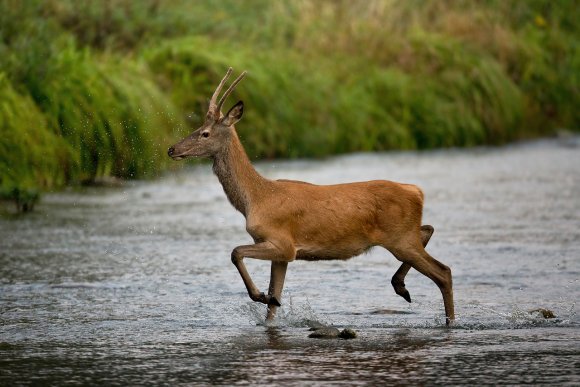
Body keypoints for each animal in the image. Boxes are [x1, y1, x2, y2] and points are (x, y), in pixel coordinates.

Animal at [165, 68, 456, 326]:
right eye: (197, 127)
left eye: (205, 133)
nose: (172, 149)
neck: (255, 198)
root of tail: (416, 190)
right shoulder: (281, 253)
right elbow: (274, 304)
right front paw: (270, 300)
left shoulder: (282, 243)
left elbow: (236, 252)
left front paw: (260, 295)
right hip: (403, 236)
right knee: (429, 230)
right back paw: (401, 286)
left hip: (399, 237)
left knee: (443, 272)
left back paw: (448, 320)